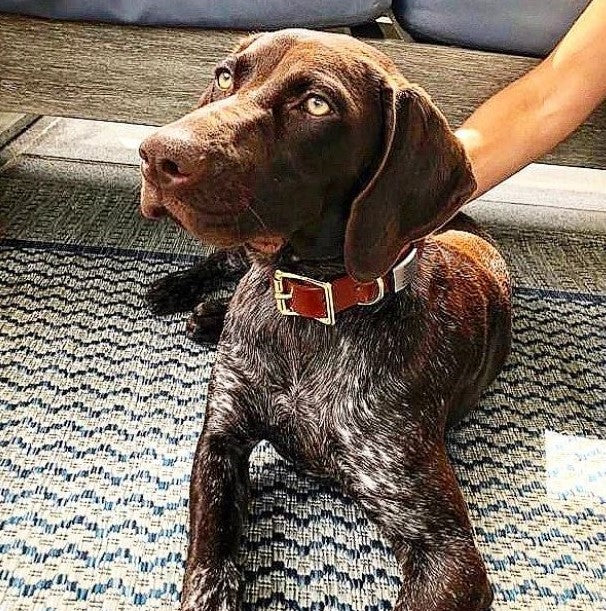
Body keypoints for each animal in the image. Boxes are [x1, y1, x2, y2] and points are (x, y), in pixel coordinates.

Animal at [139, 28, 512, 611]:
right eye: (225, 77)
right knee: (226, 262)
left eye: (317, 104)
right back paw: (182, 294)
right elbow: (209, 567)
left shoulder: (447, 553)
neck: (310, 308)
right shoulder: (220, 440)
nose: (156, 155)